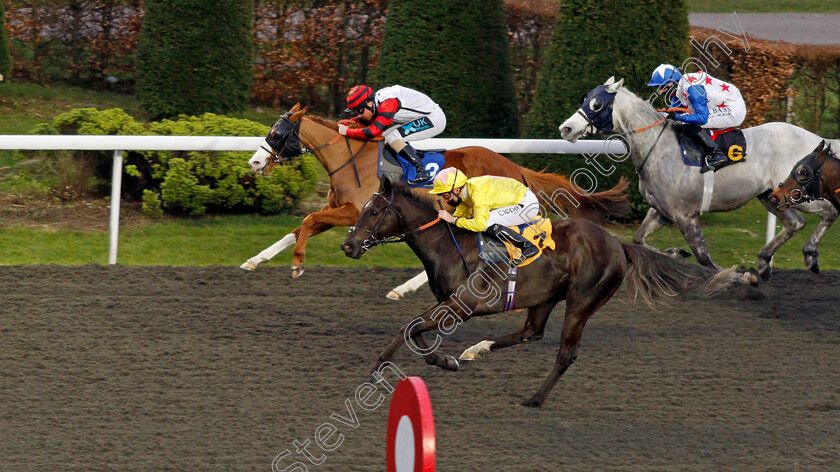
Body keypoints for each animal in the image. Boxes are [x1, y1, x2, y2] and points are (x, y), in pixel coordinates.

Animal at [243, 104, 632, 298]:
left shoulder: (355, 212)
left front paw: (297, 265)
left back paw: (404, 289)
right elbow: (300, 227)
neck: (349, 158)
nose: (255, 163)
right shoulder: (342, 211)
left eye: (276, 133)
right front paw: (254, 261)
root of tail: (513, 166)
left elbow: (307, 221)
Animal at [338, 179, 732, 408]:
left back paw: (534, 398)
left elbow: (409, 328)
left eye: (374, 210)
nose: (348, 245)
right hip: (545, 299)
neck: (447, 245)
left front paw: (377, 370)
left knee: (565, 354)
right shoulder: (448, 306)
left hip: (581, 303)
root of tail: (618, 245)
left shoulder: (461, 306)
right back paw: (475, 350)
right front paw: (446, 360)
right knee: (531, 331)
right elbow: (418, 333)